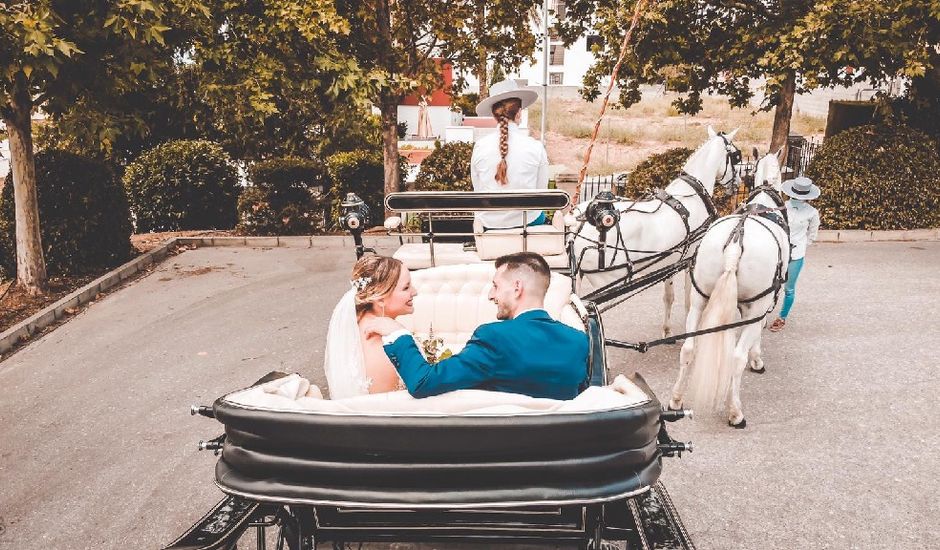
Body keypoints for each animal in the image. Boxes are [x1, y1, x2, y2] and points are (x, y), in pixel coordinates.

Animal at [572, 126, 740, 338]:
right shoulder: (690, 260)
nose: (737, 184)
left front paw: (666, 330)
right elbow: (688, 299)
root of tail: (578, 225)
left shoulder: (672, 261)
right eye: (736, 156)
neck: (692, 194)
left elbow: (669, 296)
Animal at [664, 150, 788, 432]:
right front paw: (757, 360)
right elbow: (755, 336)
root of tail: (734, 243)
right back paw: (736, 412)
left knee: (688, 348)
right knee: (736, 358)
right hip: (755, 303)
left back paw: (676, 399)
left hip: (699, 299)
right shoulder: (761, 305)